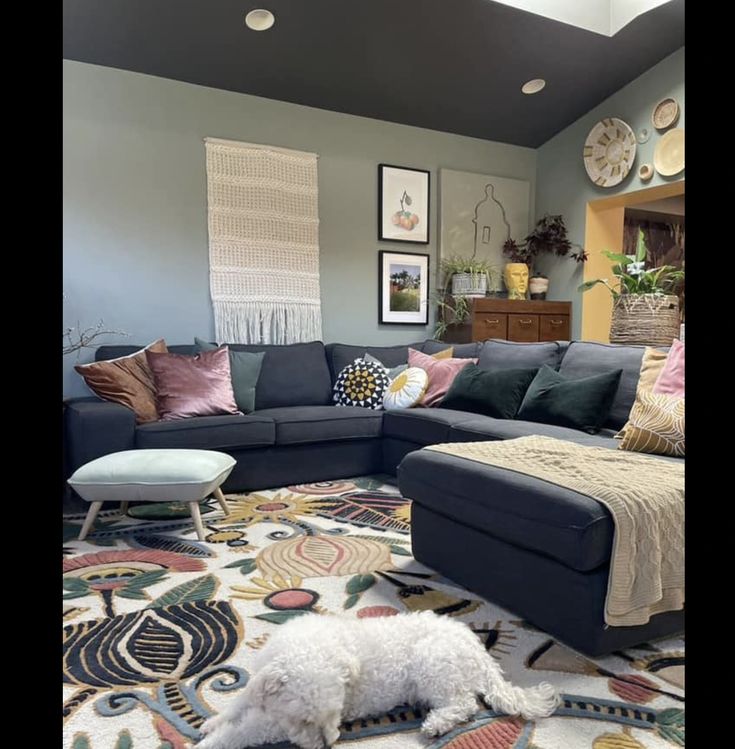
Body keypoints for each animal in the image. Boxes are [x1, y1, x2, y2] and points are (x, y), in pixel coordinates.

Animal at [196, 612, 556, 744]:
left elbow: (238, 733)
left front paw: (211, 738)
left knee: (464, 704)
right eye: (306, 720)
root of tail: (481, 653)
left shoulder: (272, 725)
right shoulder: (259, 686)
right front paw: (212, 722)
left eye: (335, 714)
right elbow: (238, 703)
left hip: (434, 665)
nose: (328, 744)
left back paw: (437, 724)